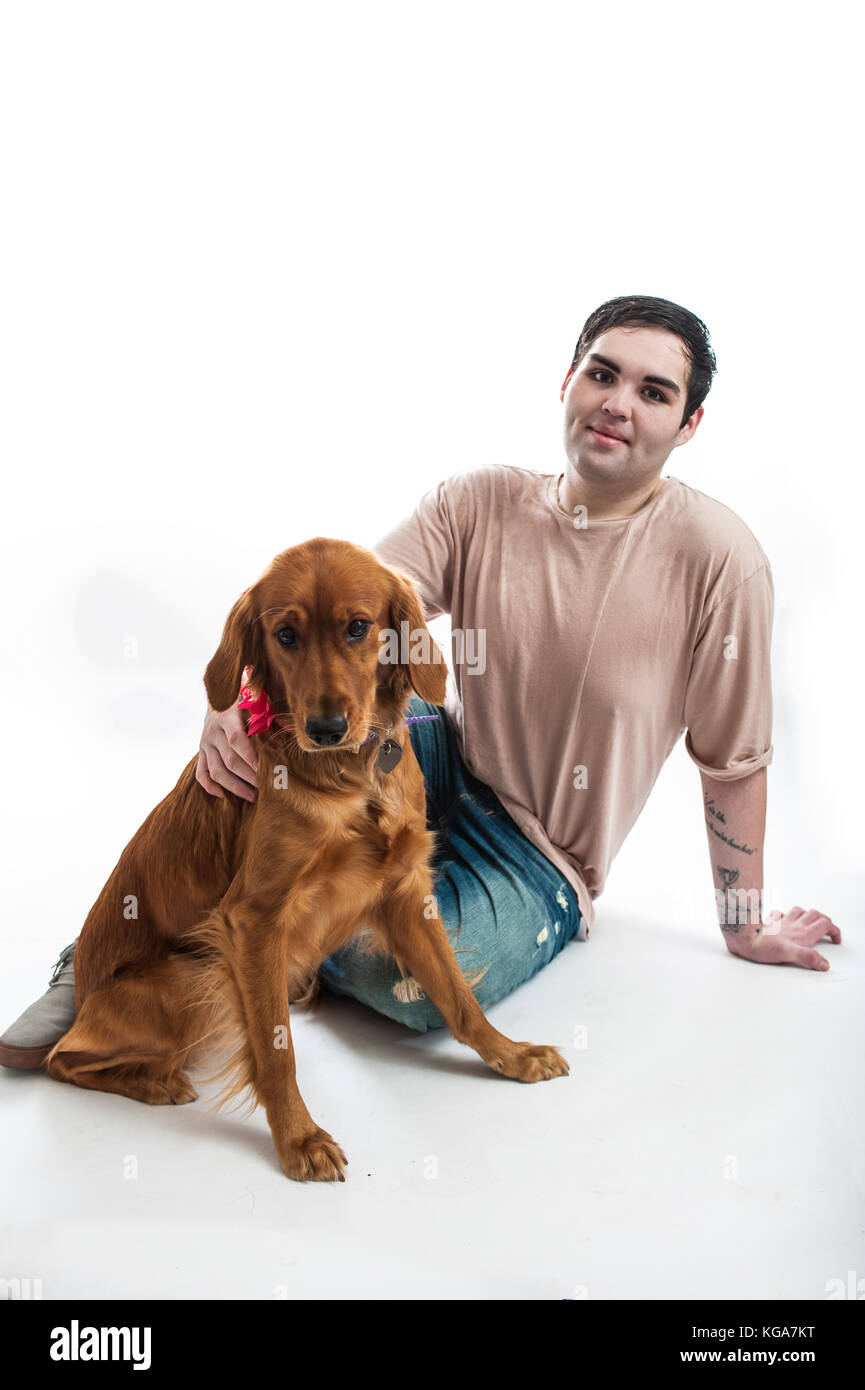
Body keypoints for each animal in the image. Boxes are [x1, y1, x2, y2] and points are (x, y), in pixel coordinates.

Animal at [49, 536, 575, 1178]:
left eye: (358, 627)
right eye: (285, 635)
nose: (326, 728)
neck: (350, 779)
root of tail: (79, 1001)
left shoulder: (404, 890)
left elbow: (458, 995)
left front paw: (510, 1054)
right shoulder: (253, 920)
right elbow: (276, 1049)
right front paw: (298, 1139)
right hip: (189, 976)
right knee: (62, 1058)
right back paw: (153, 1081)